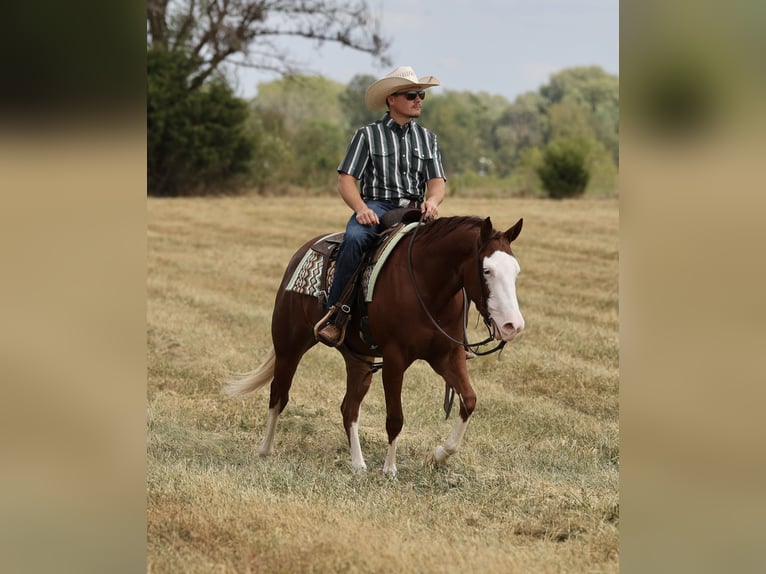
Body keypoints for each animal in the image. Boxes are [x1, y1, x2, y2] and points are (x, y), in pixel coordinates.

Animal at [225, 215, 524, 476]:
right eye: (486, 270)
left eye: (516, 271)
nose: (513, 325)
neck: (427, 286)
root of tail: (303, 250)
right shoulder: (395, 358)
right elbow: (395, 417)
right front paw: (390, 469)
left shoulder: (447, 356)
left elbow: (469, 400)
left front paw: (438, 455)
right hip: (289, 344)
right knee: (279, 393)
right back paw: (265, 449)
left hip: (359, 360)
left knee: (349, 408)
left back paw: (358, 465)